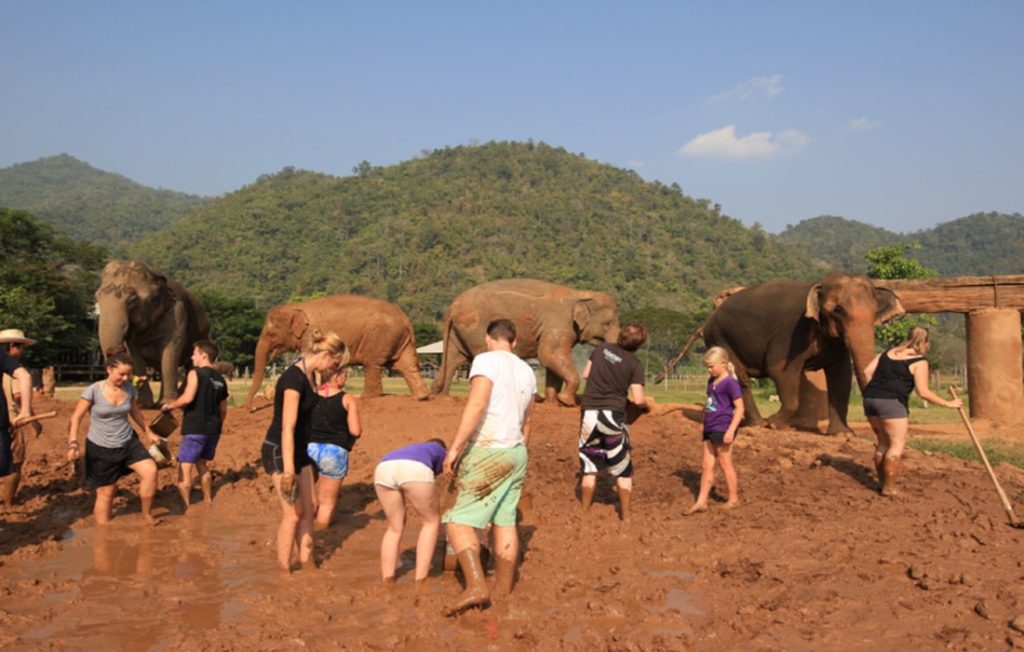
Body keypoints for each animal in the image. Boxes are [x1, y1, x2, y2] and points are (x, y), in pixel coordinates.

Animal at [96, 261, 211, 407]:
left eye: (132, 299)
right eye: (97, 297)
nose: (114, 349)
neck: (152, 273)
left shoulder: (177, 314)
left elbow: (170, 353)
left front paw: (168, 403)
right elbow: (136, 356)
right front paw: (143, 404)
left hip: (202, 335)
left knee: (191, 366)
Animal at [243, 292, 428, 405]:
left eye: (271, 333)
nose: (250, 407)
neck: (297, 307)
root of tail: (406, 319)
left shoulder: (310, 335)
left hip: (380, 337)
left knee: (372, 365)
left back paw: (362, 398)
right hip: (399, 339)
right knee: (407, 365)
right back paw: (421, 397)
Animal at [430, 276, 618, 405]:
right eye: (608, 323)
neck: (580, 293)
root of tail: (453, 306)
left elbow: (551, 361)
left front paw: (552, 403)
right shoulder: (558, 324)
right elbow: (549, 354)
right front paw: (566, 401)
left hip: (459, 332)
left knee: (454, 359)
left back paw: (443, 398)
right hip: (476, 330)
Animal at [700, 272, 901, 433]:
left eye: (875, 312)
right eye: (838, 310)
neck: (818, 284)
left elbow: (842, 376)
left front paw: (842, 434)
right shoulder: (792, 333)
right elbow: (780, 370)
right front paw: (774, 424)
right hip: (719, 337)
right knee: (740, 376)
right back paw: (759, 424)